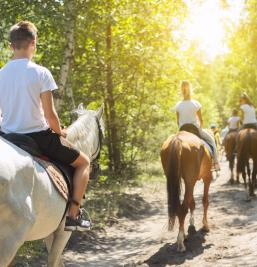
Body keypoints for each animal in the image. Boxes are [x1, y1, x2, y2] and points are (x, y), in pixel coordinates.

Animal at [0, 104, 104, 267]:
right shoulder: (63, 231)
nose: (97, 170)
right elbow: (54, 260)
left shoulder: (50, 231)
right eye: (103, 132)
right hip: (10, 240)